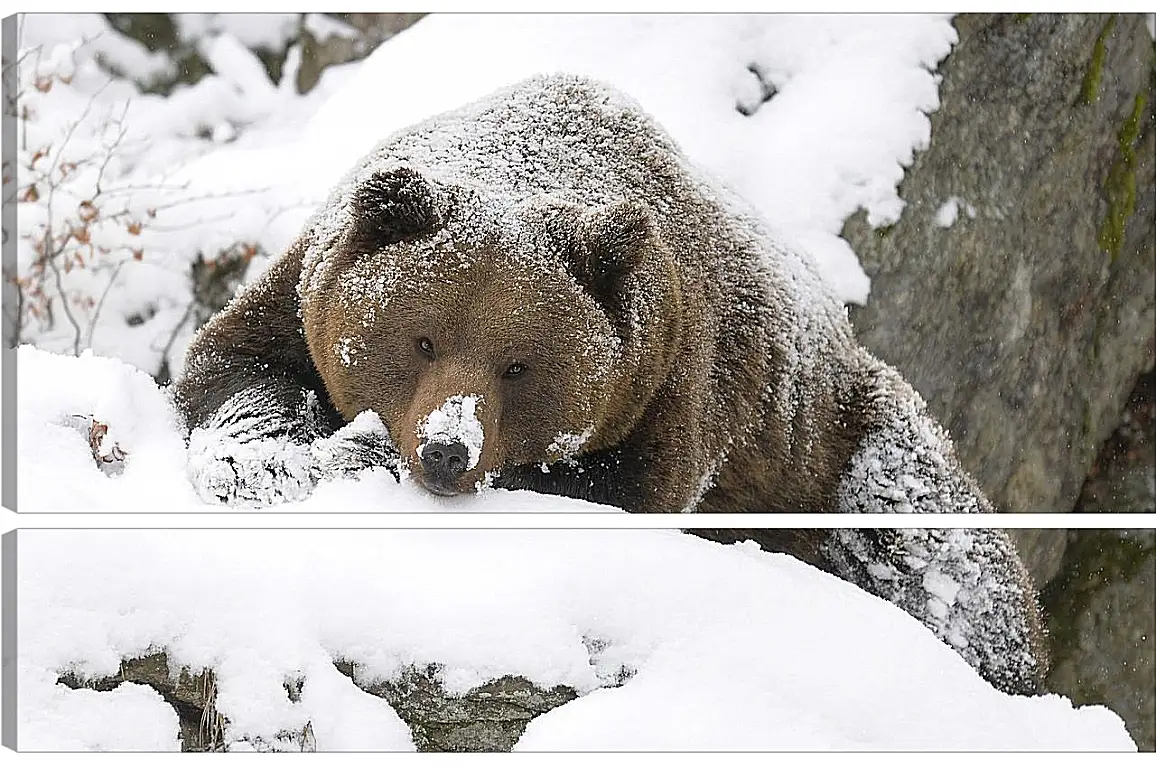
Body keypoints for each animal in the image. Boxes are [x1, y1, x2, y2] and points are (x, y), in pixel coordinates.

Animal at [175, 73, 1054, 693]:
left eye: (518, 364)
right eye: (421, 339)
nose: (447, 450)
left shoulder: (670, 387)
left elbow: (612, 494)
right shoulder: (301, 295)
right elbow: (236, 376)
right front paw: (289, 454)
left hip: (842, 448)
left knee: (940, 557)